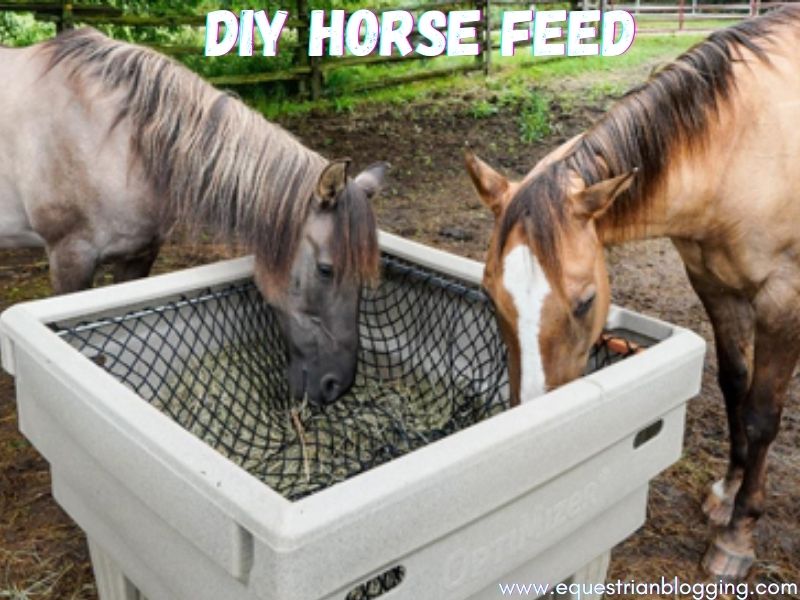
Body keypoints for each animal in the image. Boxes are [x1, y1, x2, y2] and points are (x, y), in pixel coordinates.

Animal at [465, 6, 800, 580]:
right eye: (491, 298)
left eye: (583, 303)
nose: (535, 420)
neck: (744, 144)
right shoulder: (714, 285)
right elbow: (735, 384)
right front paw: (726, 492)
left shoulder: (782, 298)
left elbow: (761, 414)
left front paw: (737, 536)